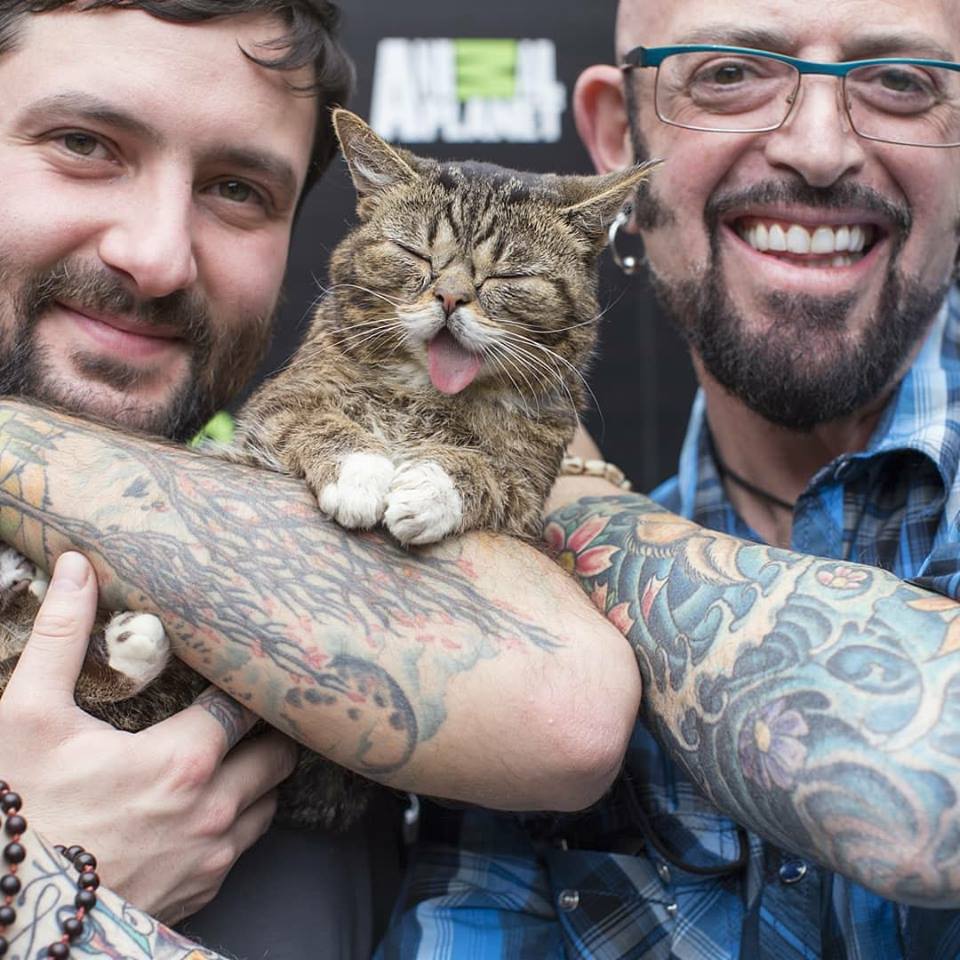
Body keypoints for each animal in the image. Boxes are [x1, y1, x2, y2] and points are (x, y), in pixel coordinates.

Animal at [0, 107, 652, 824]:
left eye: (507, 278)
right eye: (417, 255)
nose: (451, 299)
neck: (425, 396)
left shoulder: (528, 496)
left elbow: (483, 471)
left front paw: (427, 487)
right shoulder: (279, 408)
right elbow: (322, 421)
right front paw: (362, 473)